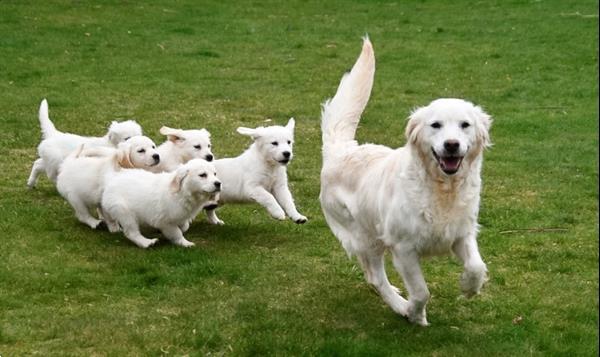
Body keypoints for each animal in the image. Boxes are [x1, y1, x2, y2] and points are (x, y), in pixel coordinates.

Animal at [322, 37, 490, 324]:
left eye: (465, 125)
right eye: (436, 125)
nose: (452, 145)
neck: (441, 189)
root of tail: (341, 151)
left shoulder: (461, 233)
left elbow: (478, 266)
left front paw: (469, 287)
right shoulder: (404, 249)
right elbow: (422, 291)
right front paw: (414, 313)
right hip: (367, 236)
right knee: (376, 277)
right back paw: (399, 304)